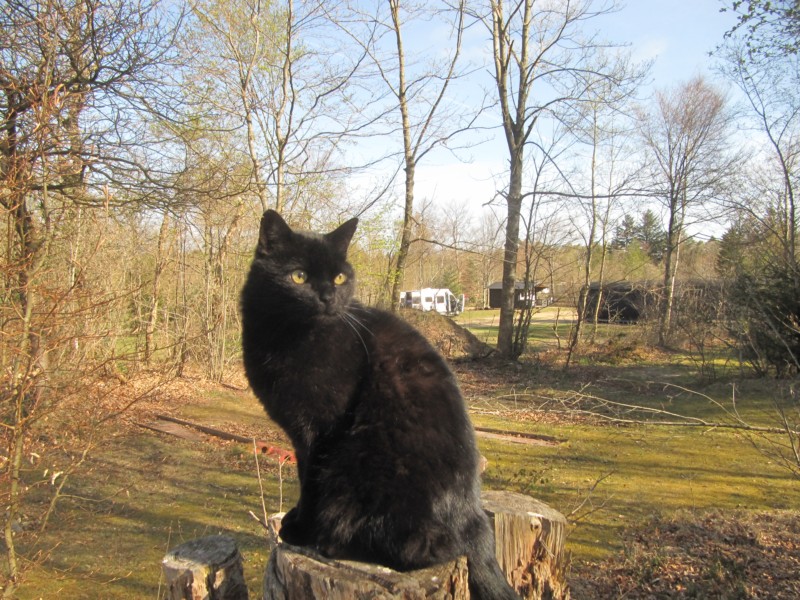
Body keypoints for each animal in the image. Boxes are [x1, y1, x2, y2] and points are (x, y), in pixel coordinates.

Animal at [239, 211, 520, 600]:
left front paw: (301, 528)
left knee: (428, 548)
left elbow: (310, 480)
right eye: (299, 277)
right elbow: (302, 473)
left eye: (339, 277)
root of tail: (477, 518)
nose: (328, 297)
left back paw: (333, 542)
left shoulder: (321, 430)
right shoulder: (299, 432)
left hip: (362, 463)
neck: (289, 339)